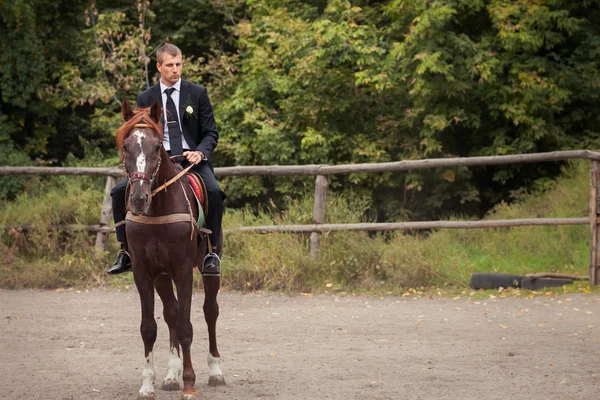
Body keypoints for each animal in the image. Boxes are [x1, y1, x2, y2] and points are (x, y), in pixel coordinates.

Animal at [116, 100, 224, 400]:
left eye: (156, 147)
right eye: (126, 146)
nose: (139, 199)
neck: (158, 209)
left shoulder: (183, 270)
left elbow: (187, 327)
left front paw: (189, 385)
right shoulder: (143, 273)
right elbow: (149, 327)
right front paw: (147, 384)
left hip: (208, 270)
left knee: (210, 311)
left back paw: (215, 371)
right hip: (162, 277)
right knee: (171, 313)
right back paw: (171, 374)